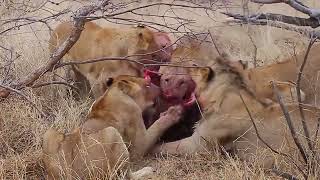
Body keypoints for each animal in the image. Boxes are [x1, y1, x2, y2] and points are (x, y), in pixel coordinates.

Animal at [42, 74, 182, 179]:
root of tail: (72, 176)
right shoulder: (136, 126)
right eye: (147, 85)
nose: (160, 88)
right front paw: (173, 112)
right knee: (126, 175)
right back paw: (146, 171)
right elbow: (156, 128)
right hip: (112, 133)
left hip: (49, 134)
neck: (112, 92)